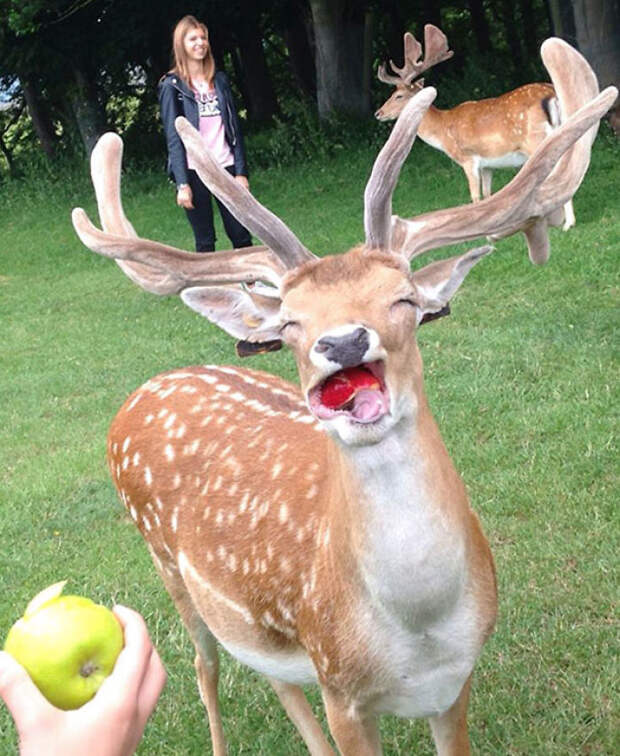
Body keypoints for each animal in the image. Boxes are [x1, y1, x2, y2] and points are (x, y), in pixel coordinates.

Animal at [376, 25, 580, 232]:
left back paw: (567, 223)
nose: (378, 113)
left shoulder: (468, 158)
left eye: (399, 96)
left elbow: (475, 196)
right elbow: (488, 195)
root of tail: (552, 95)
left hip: (536, 141)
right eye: (393, 92)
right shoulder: (487, 164)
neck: (443, 131)